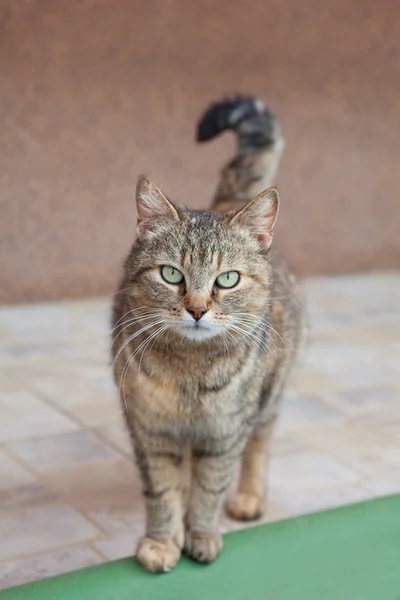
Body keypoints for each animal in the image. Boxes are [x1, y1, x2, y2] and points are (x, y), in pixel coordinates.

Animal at [111, 96, 302, 576]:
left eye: (228, 279)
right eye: (171, 274)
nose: (197, 309)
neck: (189, 372)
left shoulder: (224, 436)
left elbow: (208, 490)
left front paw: (200, 534)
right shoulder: (151, 432)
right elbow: (163, 492)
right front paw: (163, 541)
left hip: (269, 398)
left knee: (260, 445)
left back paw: (250, 497)